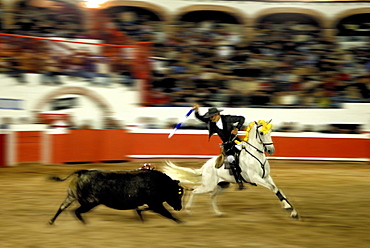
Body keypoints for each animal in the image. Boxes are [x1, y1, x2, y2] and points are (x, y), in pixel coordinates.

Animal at [48, 169, 184, 225]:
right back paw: (85, 224)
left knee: (62, 207)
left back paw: (51, 221)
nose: (179, 207)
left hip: (71, 196)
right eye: (176, 193)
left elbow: (142, 210)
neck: (160, 184)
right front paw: (181, 222)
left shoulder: (152, 204)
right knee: (76, 211)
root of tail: (83, 172)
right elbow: (167, 213)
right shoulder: (155, 203)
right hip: (90, 202)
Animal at [163, 120, 300, 219]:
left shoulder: (266, 177)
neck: (256, 155)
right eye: (261, 133)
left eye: (270, 132)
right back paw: (188, 210)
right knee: (195, 191)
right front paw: (288, 208)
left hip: (223, 185)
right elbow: (273, 188)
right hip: (208, 185)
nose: (271, 150)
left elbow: (278, 189)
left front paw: (292, 211)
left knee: (212, 196)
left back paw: (218, 213)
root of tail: (205, 166)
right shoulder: (255, 178)